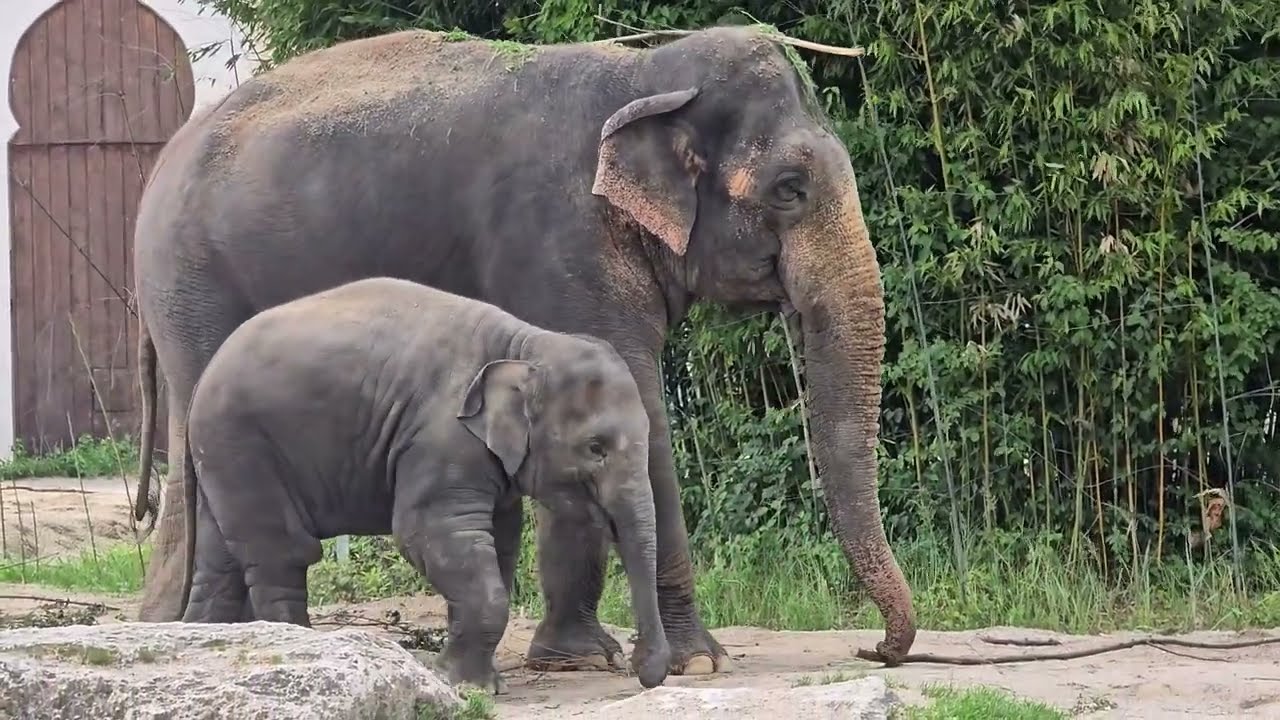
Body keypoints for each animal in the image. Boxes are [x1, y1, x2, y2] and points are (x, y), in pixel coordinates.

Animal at [174, 276, 670, 693]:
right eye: (595, 447)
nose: (639, 670)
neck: (527, 343)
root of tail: (198, 384)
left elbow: (499, 541)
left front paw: (476, 682)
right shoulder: (441, 439)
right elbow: (428, 534)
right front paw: (462, 685)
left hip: (225, 458)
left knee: (221, 560)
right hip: (241, 442)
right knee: (281, 553)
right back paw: (296, 644)